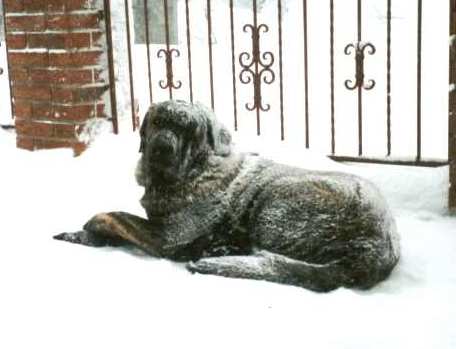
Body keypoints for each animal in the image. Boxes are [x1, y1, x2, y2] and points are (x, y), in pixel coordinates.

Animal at [55, 98, 400, 290]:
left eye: (189, 130)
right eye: (157, 122)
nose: (162, 148)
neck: (193, 171)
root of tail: (375, 248)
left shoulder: (168, 236)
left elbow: (111, 215)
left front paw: (85, 230)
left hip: (276, 200)